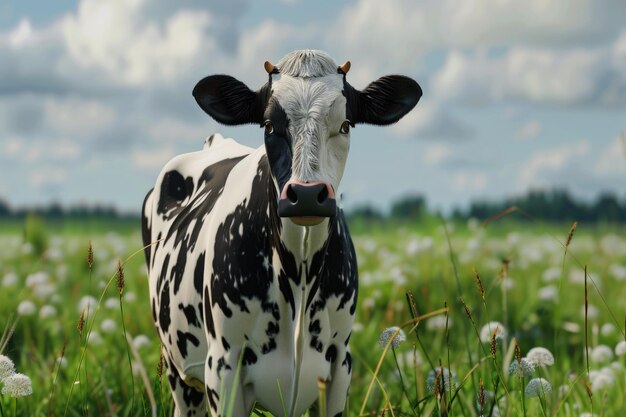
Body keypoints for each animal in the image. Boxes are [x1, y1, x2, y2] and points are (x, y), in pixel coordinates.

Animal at [141, 49, 422, 416]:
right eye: (269, 125)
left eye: (345, 125)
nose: (307, 194)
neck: (299, 271)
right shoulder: (222, 365)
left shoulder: (340, 364)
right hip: (179, 369)